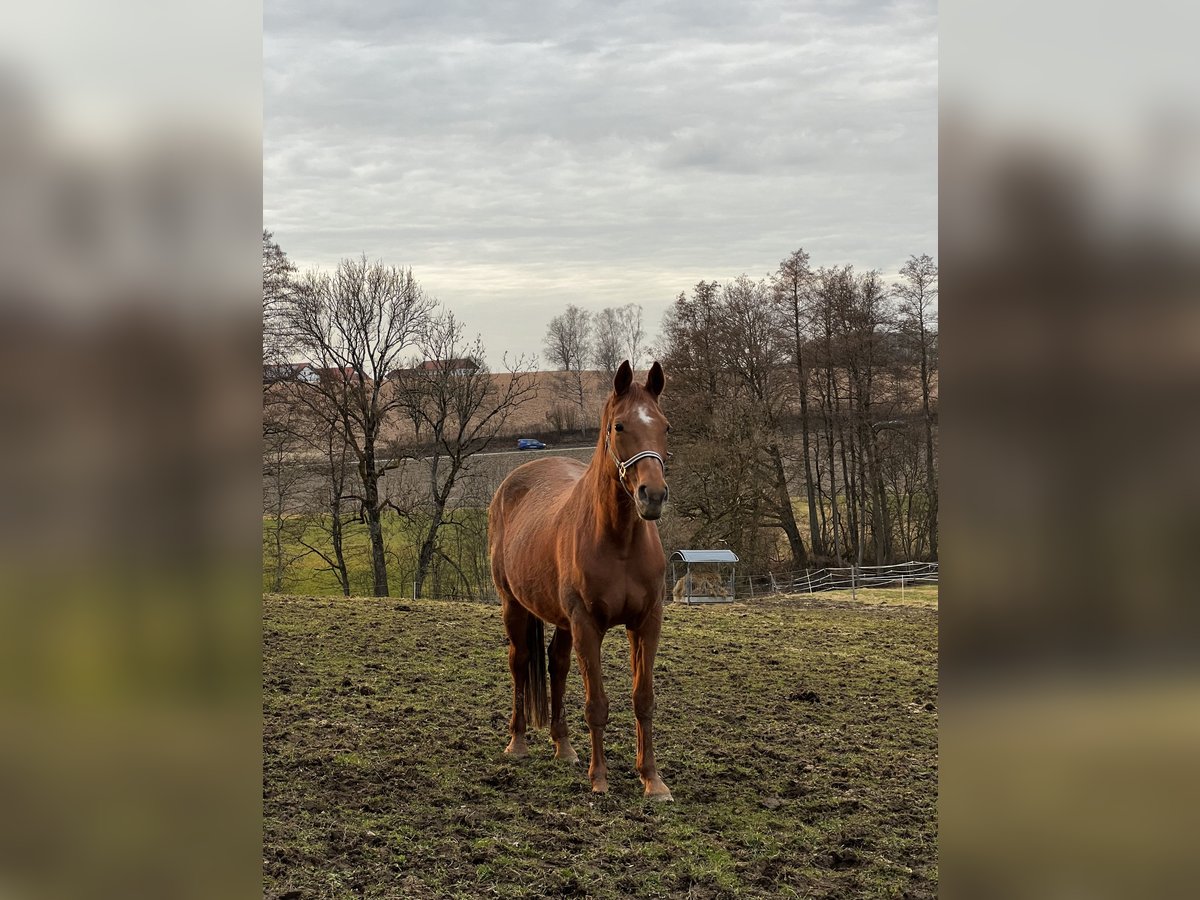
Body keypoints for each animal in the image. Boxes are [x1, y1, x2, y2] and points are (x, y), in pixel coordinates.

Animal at [487, 362, 676, 801]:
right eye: (619, 426)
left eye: (664, 426)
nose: (653, 495)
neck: (619, 540)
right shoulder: (587, 625)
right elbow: (597, 705)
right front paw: (600, 778)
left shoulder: (647, 622)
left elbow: (643, 699)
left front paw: (652, 779)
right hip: (514, 607)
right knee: (520, 663)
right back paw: (517, 743)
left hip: (561, 620)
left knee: (556, 665)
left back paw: (564, 746)